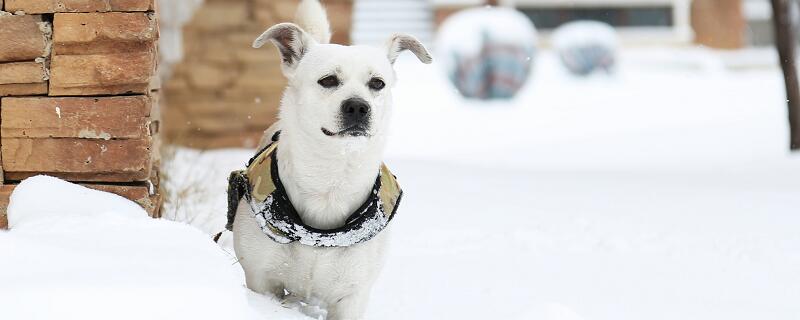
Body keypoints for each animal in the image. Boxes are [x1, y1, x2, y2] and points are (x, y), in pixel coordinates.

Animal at [227, 1, 432, 318]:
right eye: (328, 80)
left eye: (377, 83)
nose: (358, 106)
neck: (331, 180)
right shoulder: (261, 280)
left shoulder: (352, 297)